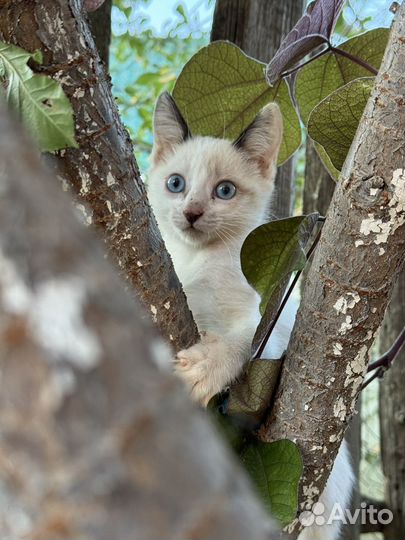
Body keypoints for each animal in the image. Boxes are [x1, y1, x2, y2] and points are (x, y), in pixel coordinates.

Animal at [147, 92, 352, 540]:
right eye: (175, 183)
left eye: (225, 190)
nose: (191, 212)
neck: (200, 258)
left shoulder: (271, 316)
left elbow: (246, 341)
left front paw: (205, 368)